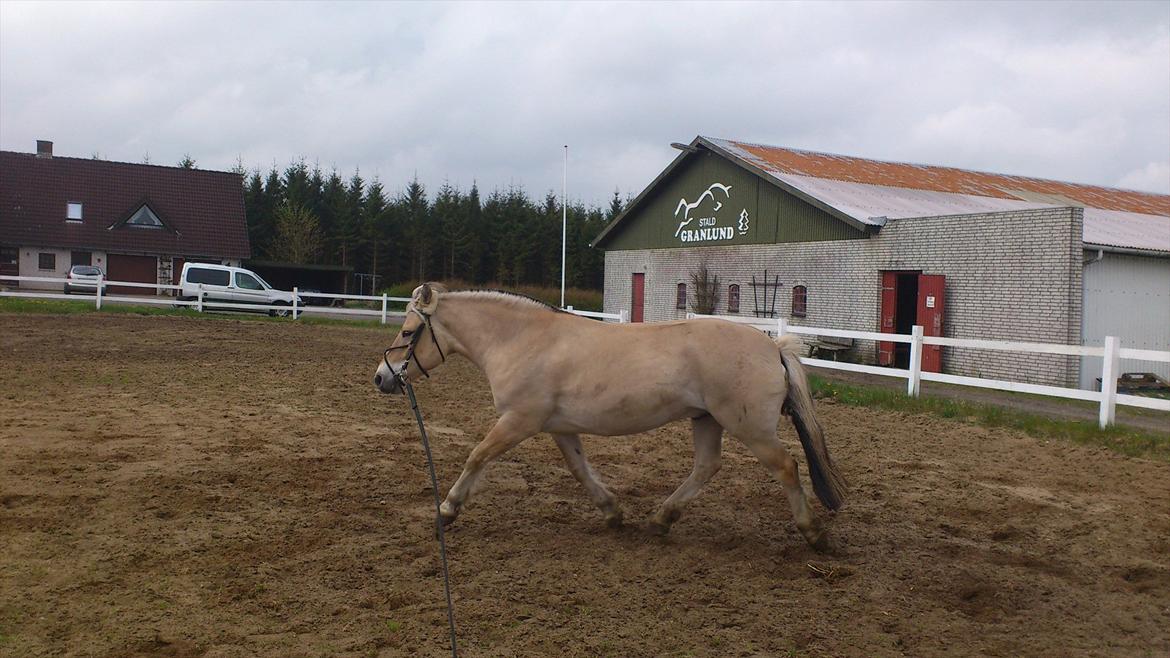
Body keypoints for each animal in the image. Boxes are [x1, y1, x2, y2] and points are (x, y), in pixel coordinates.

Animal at [369, 284, 847, 545]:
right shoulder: (558, 428)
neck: (522, 339)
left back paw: (812, 533)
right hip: (706, 419)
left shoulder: (518, 421)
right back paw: (660, 519)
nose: (382, 377)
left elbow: (477, 457)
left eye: (408, 332)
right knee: (707, 466)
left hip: (750, 427)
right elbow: (580, 470)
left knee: (786, 466)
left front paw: (446, 510)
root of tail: (773, 346)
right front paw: (612, 512)